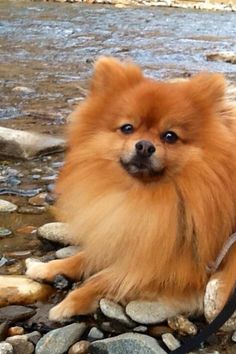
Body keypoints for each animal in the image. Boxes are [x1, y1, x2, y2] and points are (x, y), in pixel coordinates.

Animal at [26, 57, 236, 320]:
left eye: (170, 136)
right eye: (127, 128)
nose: (144, 146)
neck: (144, 195)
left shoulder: (173, 268)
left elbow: (104, 278)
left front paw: (70, 302)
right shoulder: (129, 236)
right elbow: (86, 256)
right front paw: (48, 267)